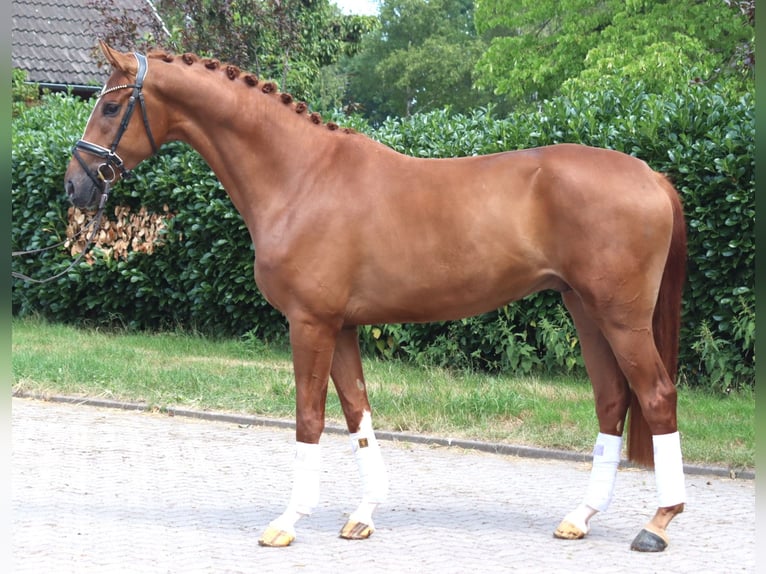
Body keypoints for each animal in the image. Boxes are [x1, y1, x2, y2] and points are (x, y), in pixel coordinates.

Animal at [64, 41, 688, 552]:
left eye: (112, 107)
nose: (76, 185)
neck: (301, 177)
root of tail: (652, 176)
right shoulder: (340, 325)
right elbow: (356, 413)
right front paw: (362, 515)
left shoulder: (310, 323)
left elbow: (309, 417)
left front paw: (287, 521)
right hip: (585, 309)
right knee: (612, 399)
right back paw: (580, 517)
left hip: (621, 317)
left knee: (656, 395)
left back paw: (657, 523)